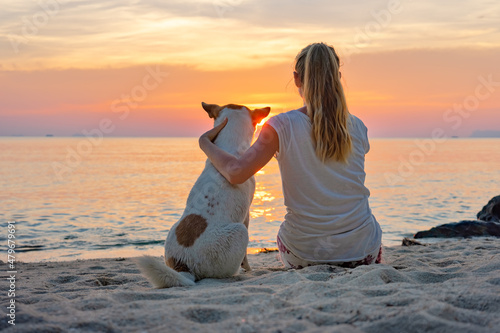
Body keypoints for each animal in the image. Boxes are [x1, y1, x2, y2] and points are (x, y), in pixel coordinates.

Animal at [136, 102, 270, 286]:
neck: (229, 149)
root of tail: (183, 264)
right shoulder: (246, 215)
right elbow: (245, 257)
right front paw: (249, 269)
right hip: (240, 231)